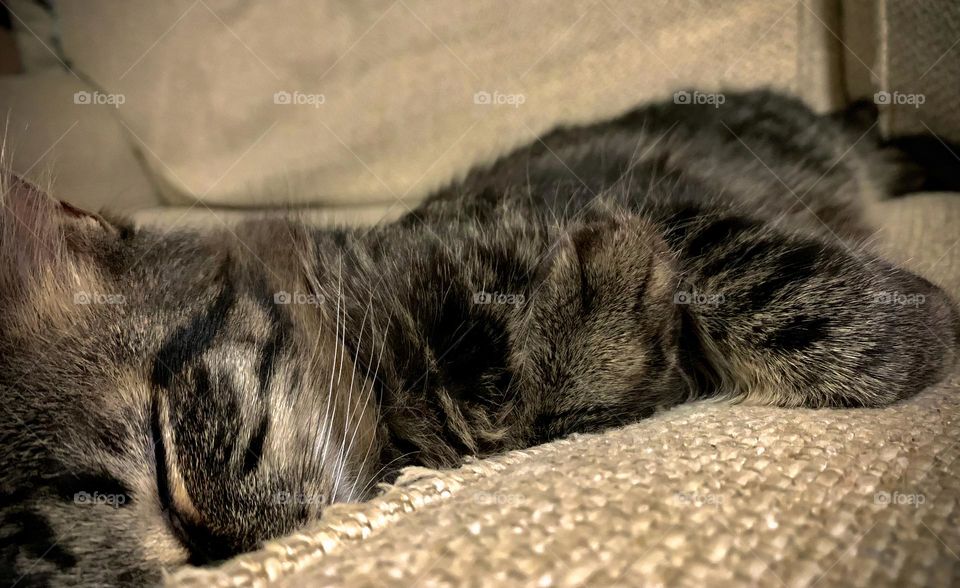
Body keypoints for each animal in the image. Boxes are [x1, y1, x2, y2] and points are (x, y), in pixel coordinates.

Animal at [0, 89, 956, 584]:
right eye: (145, 579)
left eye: (165, 461)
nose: (229, 555)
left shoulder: (633, 207)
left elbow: (756, 275)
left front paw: (894, 330)